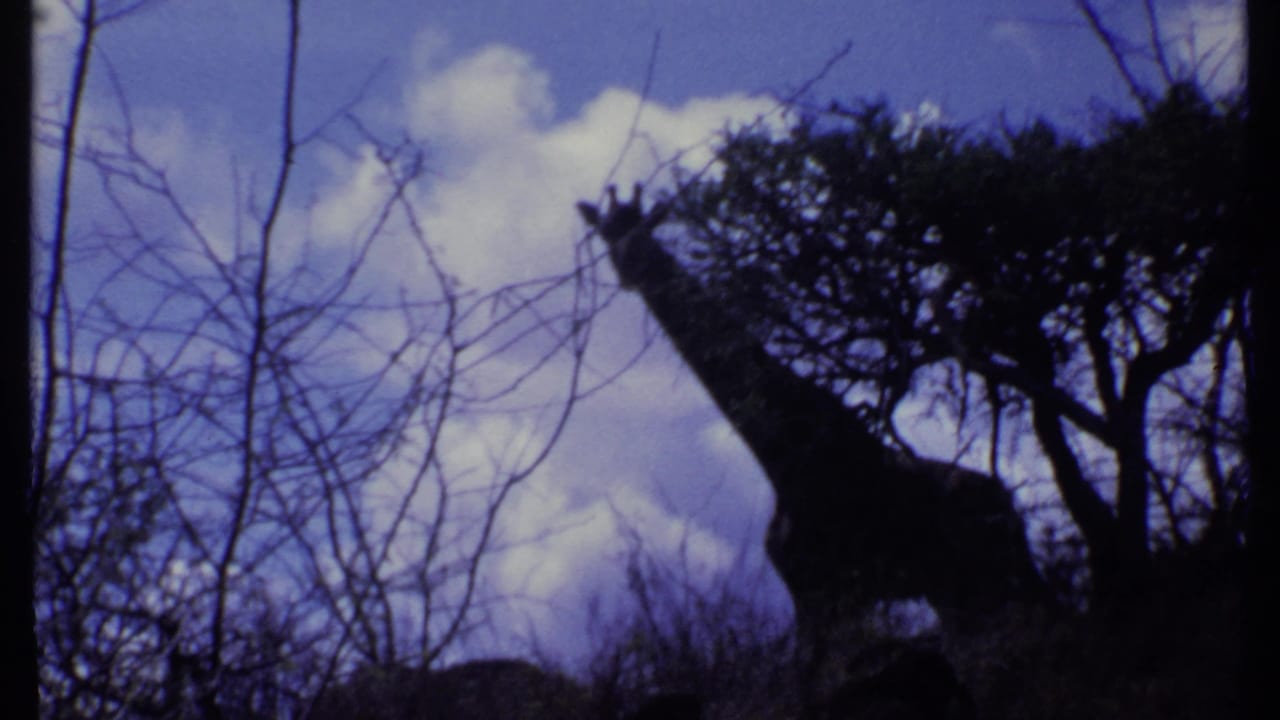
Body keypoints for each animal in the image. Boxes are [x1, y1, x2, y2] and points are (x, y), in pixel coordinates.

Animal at [577, 183, 1047, 688]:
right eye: (605, 234)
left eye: (647, 228)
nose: (630, 266)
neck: (782, 457)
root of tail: (1009, 504)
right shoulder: (811, 593)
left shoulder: (841, 590)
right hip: (958, 586)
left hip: (984, 574)